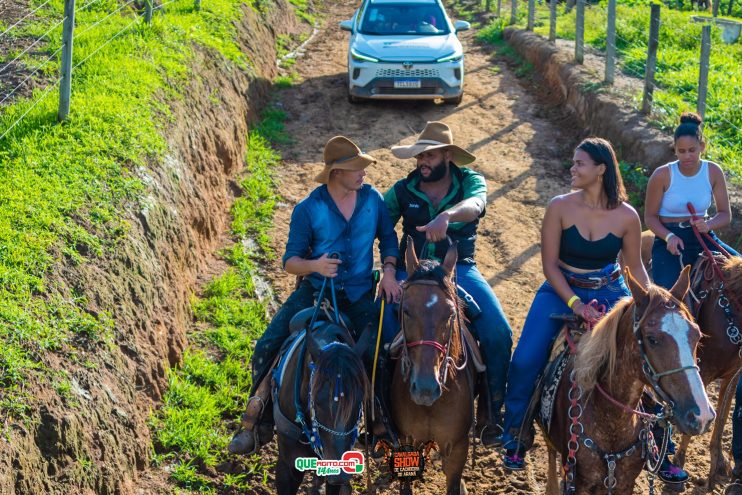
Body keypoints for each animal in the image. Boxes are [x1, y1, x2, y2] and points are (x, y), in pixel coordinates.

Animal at [544, 268, 716, 495]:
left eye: (696, 335)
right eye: (652, 339)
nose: (702, 415)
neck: (611, 420)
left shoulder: (625, 483)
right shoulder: (581, 483)